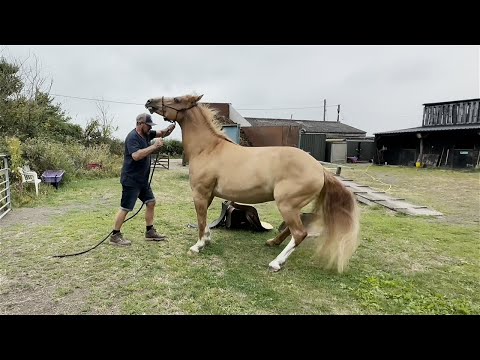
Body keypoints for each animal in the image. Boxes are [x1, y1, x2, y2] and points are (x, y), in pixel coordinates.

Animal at [146, 94, 360, 272]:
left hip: (287, 205)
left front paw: (197, 246)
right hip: (294, 206)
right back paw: (272, 242)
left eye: (177, 99)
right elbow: (204, 219)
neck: (209, 149)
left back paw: (276, 263)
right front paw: (206, 240)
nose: (149, 102)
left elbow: (200, 219)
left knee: (299, 233)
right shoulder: (209, 194)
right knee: (296, 227)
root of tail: (319, 169)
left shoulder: (200, 192)